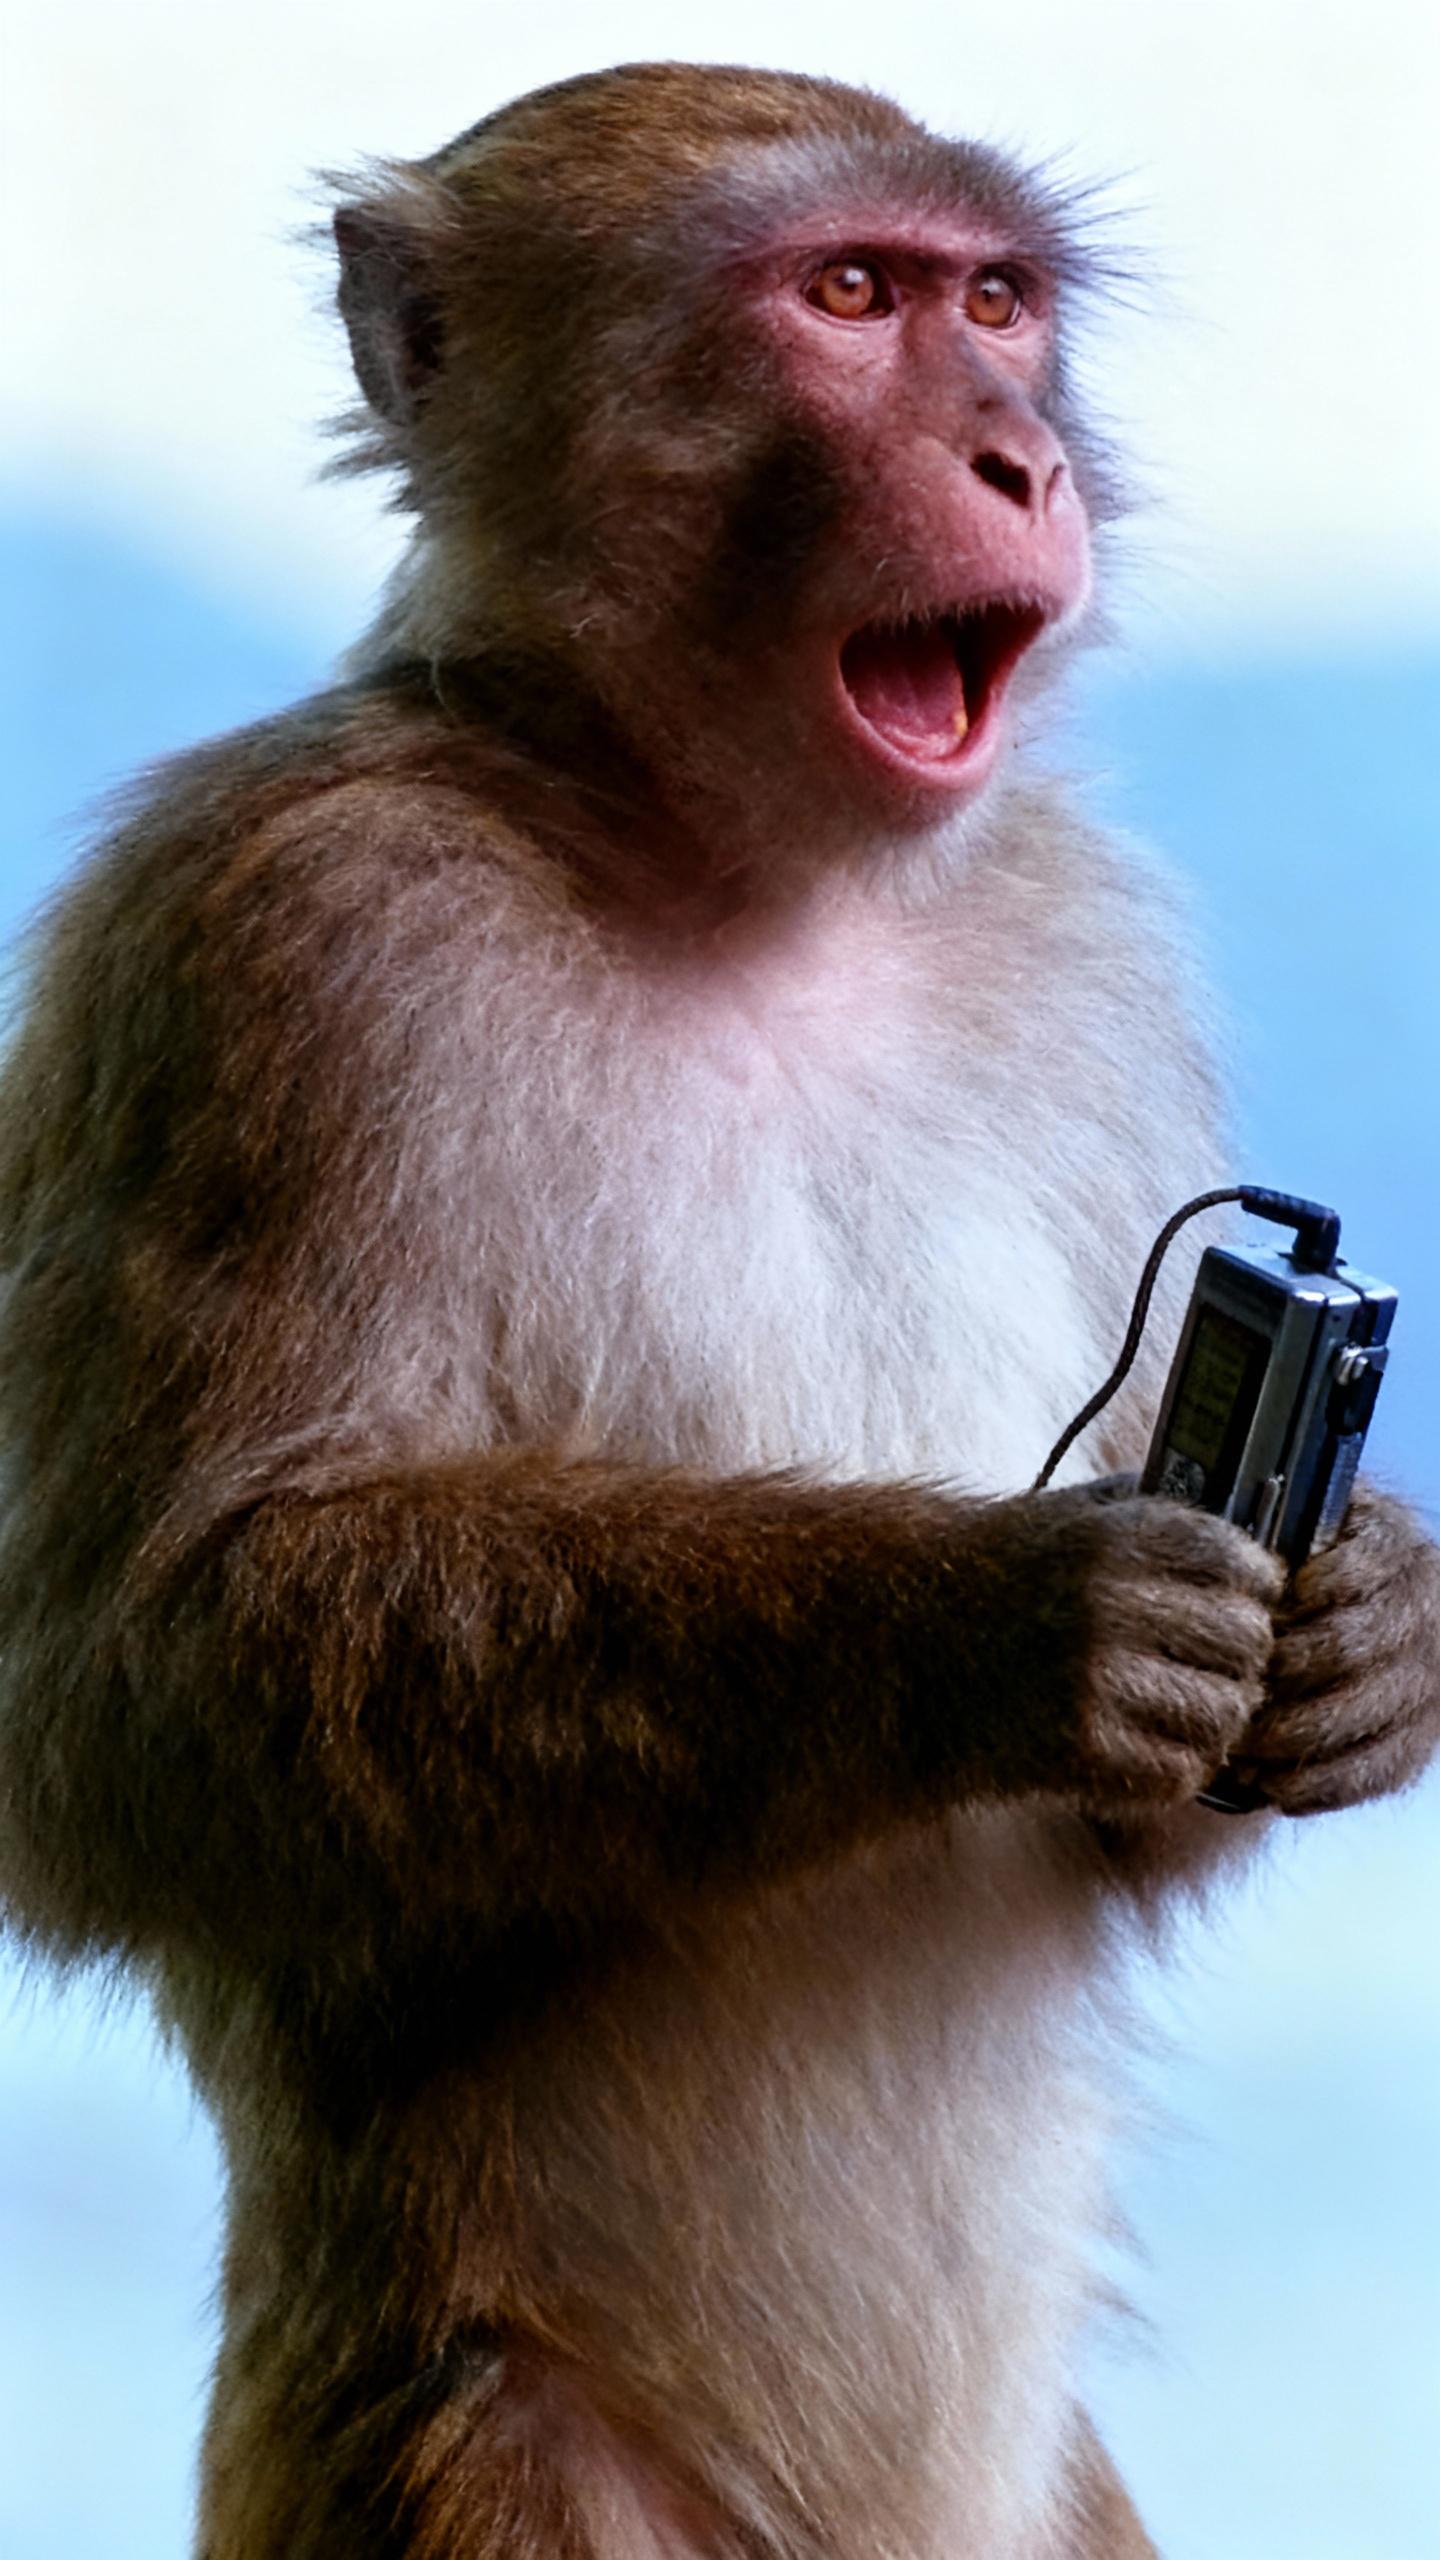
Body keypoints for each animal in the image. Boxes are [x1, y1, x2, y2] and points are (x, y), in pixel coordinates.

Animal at [1, 59, 1437, 2560]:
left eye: (998, 304)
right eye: (848, 296)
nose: (1017, 452)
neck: (745, 881)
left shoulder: (1085, 941)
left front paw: (1364, 1620)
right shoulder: (267, 941)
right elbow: (128, 1692)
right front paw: (1003, 1621)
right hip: (479, 2450)